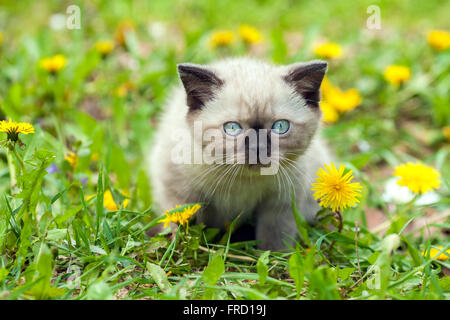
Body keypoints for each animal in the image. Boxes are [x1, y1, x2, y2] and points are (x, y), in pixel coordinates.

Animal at [148, 57, 330, 250]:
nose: (258, 149)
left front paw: (274, 257)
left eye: (280, 127)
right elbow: (182, 228)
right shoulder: (178, 190)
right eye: (232, 128)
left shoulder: (281, 203)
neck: (244, 182)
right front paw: (178, 248)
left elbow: (274, 240)